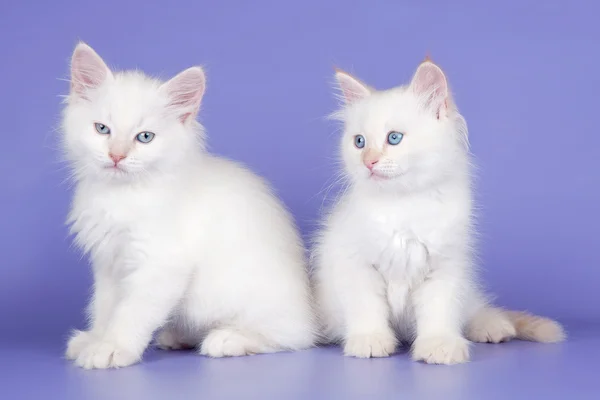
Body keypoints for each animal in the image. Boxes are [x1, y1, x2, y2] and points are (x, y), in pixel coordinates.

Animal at [62, 43, 314, 368]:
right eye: (102, 129)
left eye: (145, 137)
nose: (117, 155)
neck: (122, 194)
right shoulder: (109, 263)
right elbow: (104, 307)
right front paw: (95, 338)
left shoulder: (162, 263)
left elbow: (131, 312)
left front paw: (113, 347)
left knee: (293, 336)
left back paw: (228, 339)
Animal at [312, 60, 564, 366]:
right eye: (359, 142)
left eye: (394, 138)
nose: (368, 161)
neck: (404, 204)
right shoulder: (354, 263)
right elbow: (366, 307)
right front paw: (370, 340)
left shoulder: (445, 266)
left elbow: (439, 311)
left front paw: (439, 345)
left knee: (473, 309)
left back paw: (493, 326)